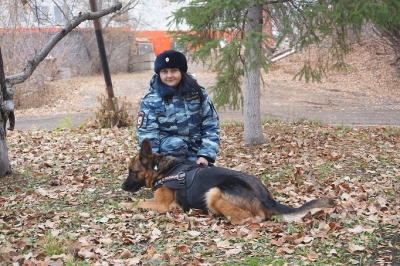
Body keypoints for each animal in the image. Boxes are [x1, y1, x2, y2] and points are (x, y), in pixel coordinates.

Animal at [122, 139, 334, 224]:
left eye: (132, 172)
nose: (122, 187)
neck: (161, 169)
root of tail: (265, 197)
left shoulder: (162, 206)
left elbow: (138, 202)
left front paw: (124, 204)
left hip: (214, 192)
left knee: (250, 218)